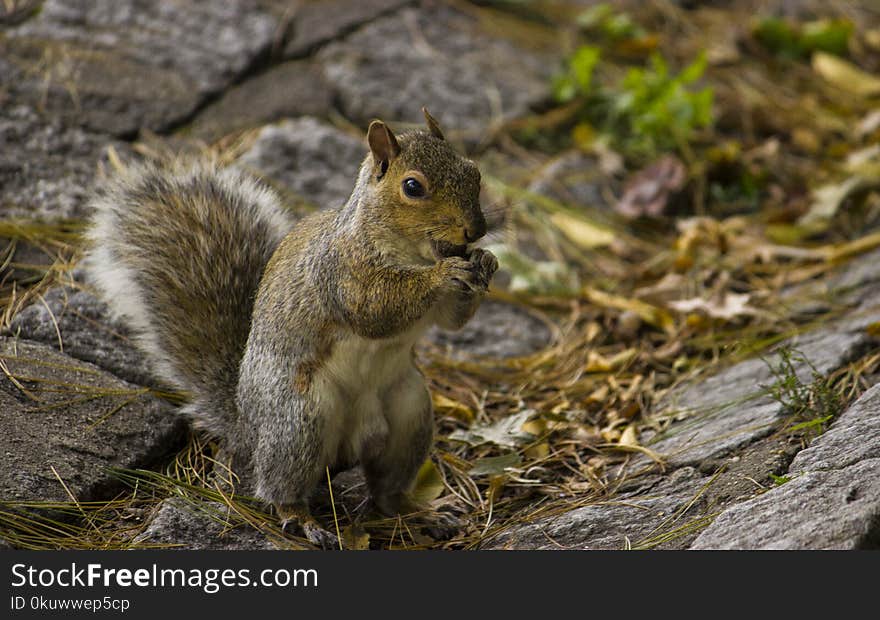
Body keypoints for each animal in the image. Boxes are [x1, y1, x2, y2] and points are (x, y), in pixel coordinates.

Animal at [86, 108, 498, 548]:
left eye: (474, 172)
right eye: (412, 187)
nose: (475, 230)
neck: (412, 253)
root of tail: (247, 430)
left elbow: (452, 321)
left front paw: (486, 261)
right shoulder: (340, 271)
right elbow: (374, 309)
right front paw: (444, 273)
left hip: (409, 414)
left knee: (387, 491)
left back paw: (420, 513)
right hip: (299, 422)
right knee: (279, 486)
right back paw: (303, 520)